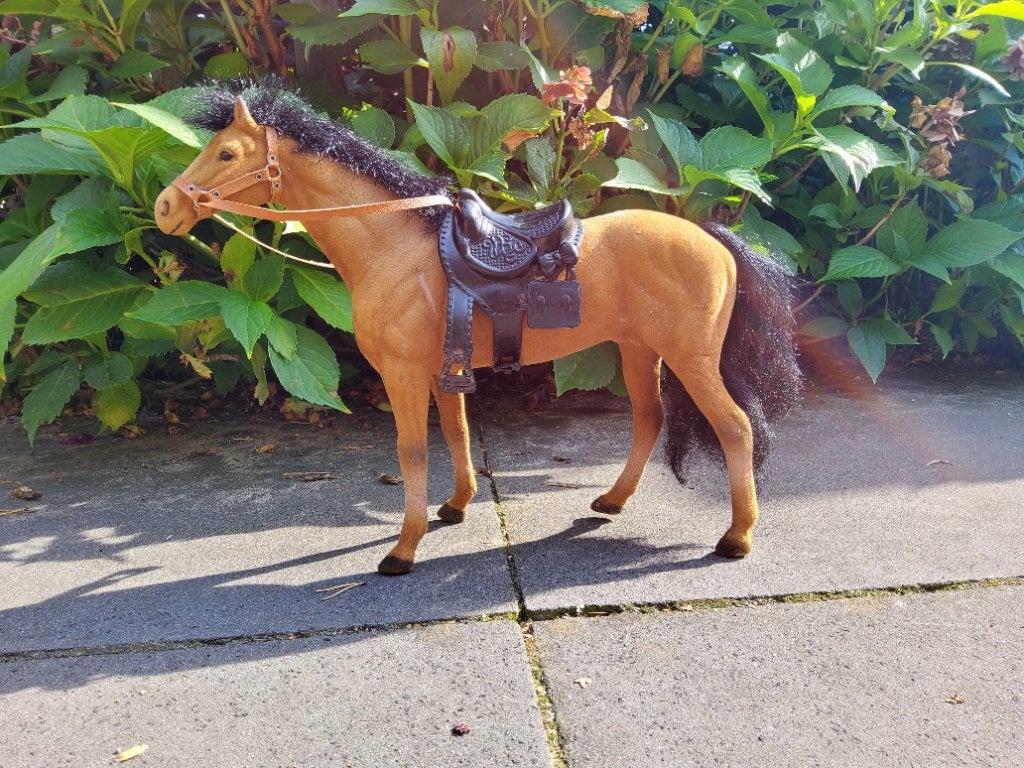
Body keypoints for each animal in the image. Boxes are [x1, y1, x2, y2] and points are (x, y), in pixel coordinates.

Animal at [154, 82, 800, 576]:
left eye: (227, 155)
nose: (165, 208)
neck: (395, 248)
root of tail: (711, 239)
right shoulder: (442, 370)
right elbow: (457, 434)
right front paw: (456, 508)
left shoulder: (404, 374)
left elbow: (412, 450)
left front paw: (403, 550)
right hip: (640, 350)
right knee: (650, 418)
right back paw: (613, 501)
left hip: (690, 359)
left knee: (736, 428)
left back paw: (736, 538)